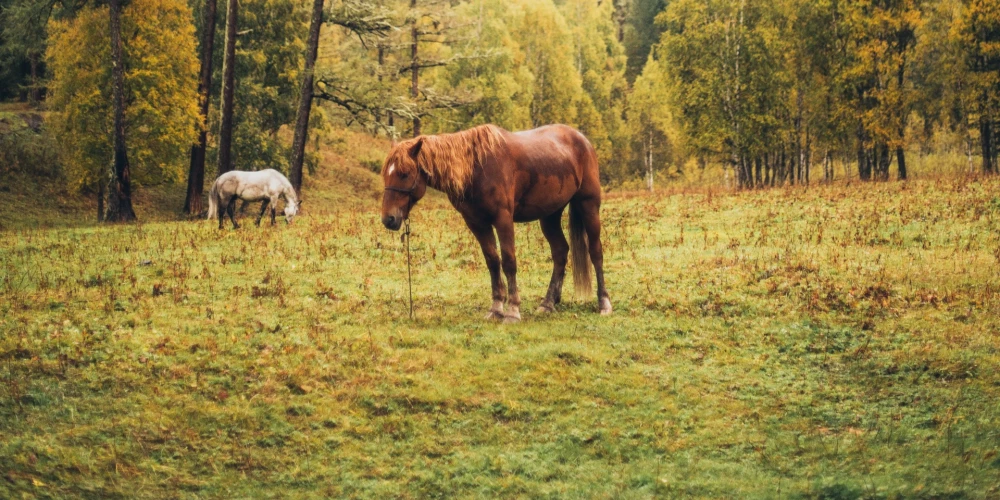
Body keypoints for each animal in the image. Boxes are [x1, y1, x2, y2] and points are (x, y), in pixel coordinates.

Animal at [378, 123, 608, 322]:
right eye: (386, 175)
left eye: (404, 174)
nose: (389, 219)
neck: (476, 168)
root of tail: (581, 139)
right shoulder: (477, 223)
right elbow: (492, 261)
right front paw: (496, 308)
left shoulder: (503, 219)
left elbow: (508, 261)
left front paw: (513, 311)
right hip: (549, 215)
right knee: (560, 252)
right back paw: (548, 303)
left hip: (588, 205)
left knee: (595, 252)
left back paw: (603, 303)